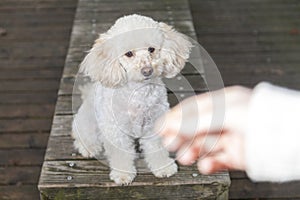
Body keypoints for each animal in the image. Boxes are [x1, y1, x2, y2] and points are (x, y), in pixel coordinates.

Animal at [71, 14, 191, 185]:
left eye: (151, 49)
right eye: (128, 54)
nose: (147, 70)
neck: (139, 93)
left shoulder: (154, 124)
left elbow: (156, 148)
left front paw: (163, 167)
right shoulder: (116, 130)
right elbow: (121, 153)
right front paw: (123, 174)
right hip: (88, 123)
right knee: (81, 135)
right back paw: (89, 148)